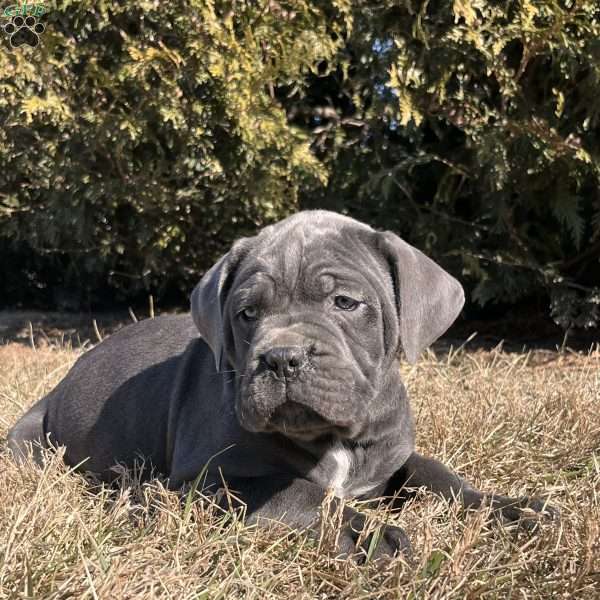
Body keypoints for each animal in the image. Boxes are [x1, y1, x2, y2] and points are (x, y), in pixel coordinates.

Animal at [7, 210, 556, 556]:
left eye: (345, 303)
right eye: (247, 313)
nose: (282, 357)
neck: (335, 439)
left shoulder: (393, 457)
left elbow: (440, 477)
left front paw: (513, 510)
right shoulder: (209, 481)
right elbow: (302, 492)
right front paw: (369, 534)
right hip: (29, 446)